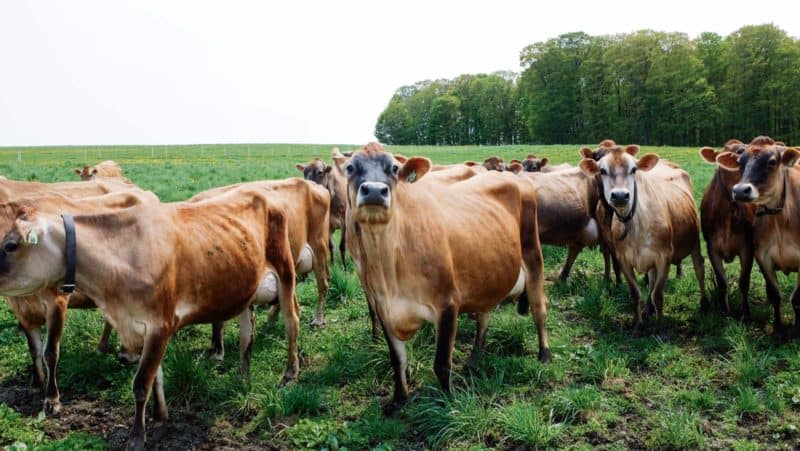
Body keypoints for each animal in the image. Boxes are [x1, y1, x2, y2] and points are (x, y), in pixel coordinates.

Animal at [340, 142, 548, 414]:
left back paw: (544, 354)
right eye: (350, 167)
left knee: (539, 308)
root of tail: (512, 177)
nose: (375, 190)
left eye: (394, 168)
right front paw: (398, 400)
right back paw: (474, 359)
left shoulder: (448, 303)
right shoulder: (383, 308)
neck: (389, 270)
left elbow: (441, 364)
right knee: (484, 317)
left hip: (533, 254)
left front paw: (450, 402)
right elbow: (397, 360)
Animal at [580, 145, 708, 332]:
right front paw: (637, 324)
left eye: (634, 169)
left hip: (694, 241)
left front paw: (661, 328)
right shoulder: (623, 258)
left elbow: (658, 294)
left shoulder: (664, 257)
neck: (635, 224)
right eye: (602, 170)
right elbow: (636, 293)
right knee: (651, 279)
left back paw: (704, 303)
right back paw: (648, 309)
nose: (620, 196)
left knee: (699, 268)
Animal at [700, 139, 756, 320]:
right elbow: (722, 282)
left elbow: (744, 281)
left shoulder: (748, 247)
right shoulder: (711, 247)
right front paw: (725, 312)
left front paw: (746, 313)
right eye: (725, 152)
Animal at [716, 136, 800, 334]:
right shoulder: (763, 256)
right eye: (740, 162)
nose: (740, 190)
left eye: (772, 162)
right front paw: (778, 327)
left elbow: (797, 298)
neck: (780, 221)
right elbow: (774, 294)